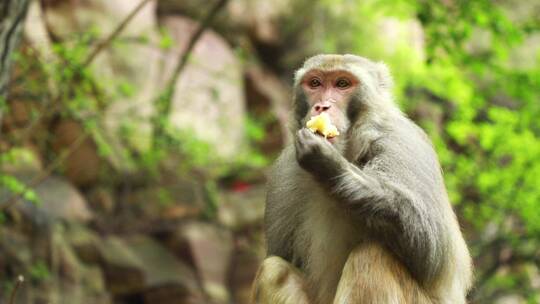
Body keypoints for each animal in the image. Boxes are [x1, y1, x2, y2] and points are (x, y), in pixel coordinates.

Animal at [251, 54, 470, 304]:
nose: (322, 106)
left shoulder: (403, 142)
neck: (351, 150)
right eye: (315, 83)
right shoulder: (284, 171)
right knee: (273, 270)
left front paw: (329, 165)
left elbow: (433, 253)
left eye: (342, 84)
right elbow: (279, 256)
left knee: (371, 257)